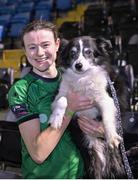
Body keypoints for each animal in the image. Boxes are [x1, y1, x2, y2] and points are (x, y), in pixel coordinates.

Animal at [49, 35, 126, 179]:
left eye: (88, 52)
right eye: (72, 53)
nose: (78, 65)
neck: (82, 78)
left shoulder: (106, 99)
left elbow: (107, 118)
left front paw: (111, 136)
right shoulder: (59, 94)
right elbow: (62, 100)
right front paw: (56, 119)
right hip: (91, 159)